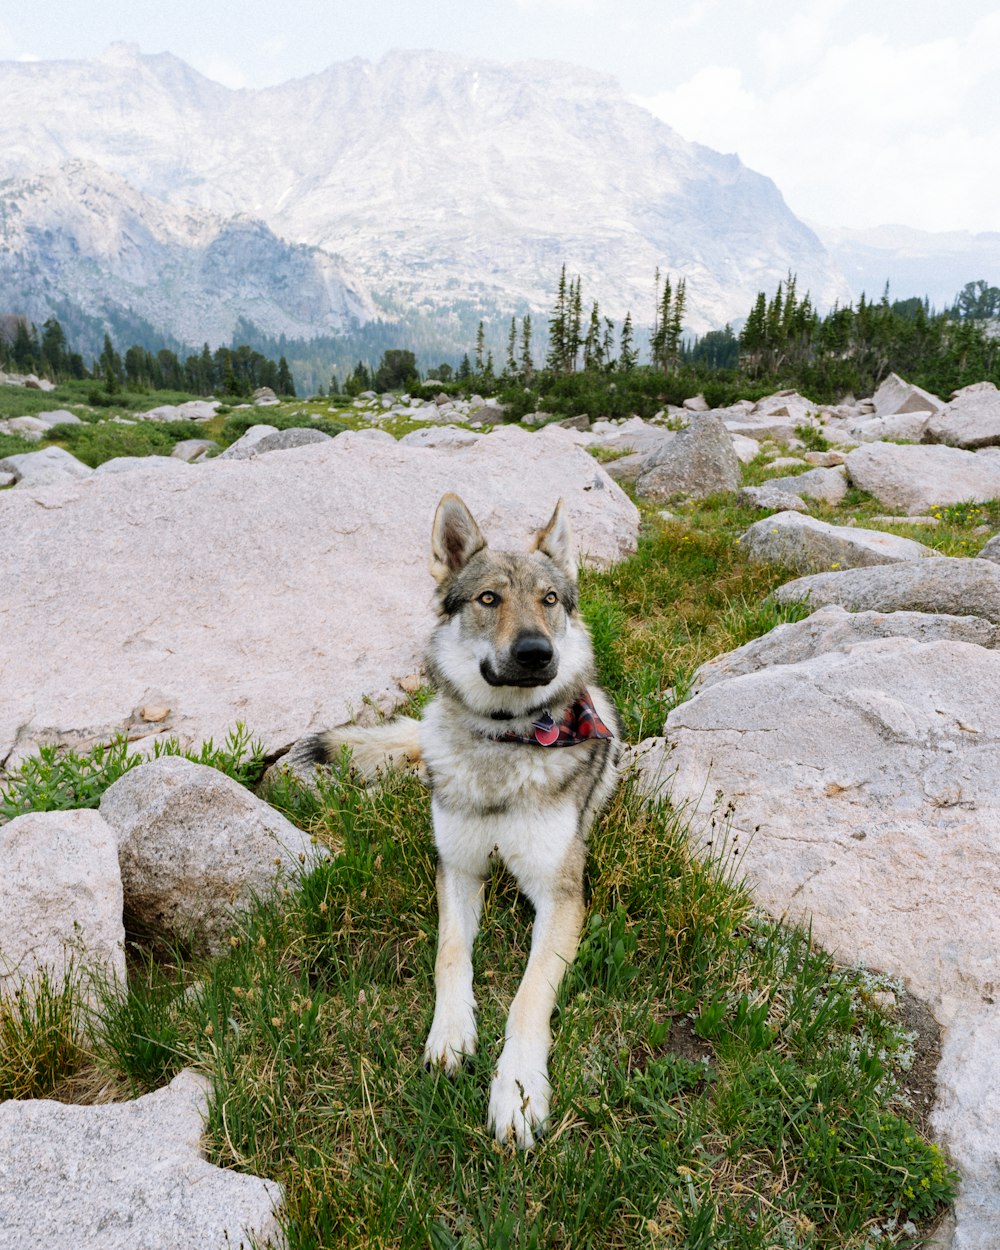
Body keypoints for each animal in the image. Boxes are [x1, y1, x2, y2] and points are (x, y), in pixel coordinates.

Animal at [291, 492, 617, 1145]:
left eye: (549, 600)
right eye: (489, 599)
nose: (536, 653)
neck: (505, 742)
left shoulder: (563, 896)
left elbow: (527, 996)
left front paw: (517, 1093)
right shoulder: (458, 872)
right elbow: (449, 956)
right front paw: (450, 1036)